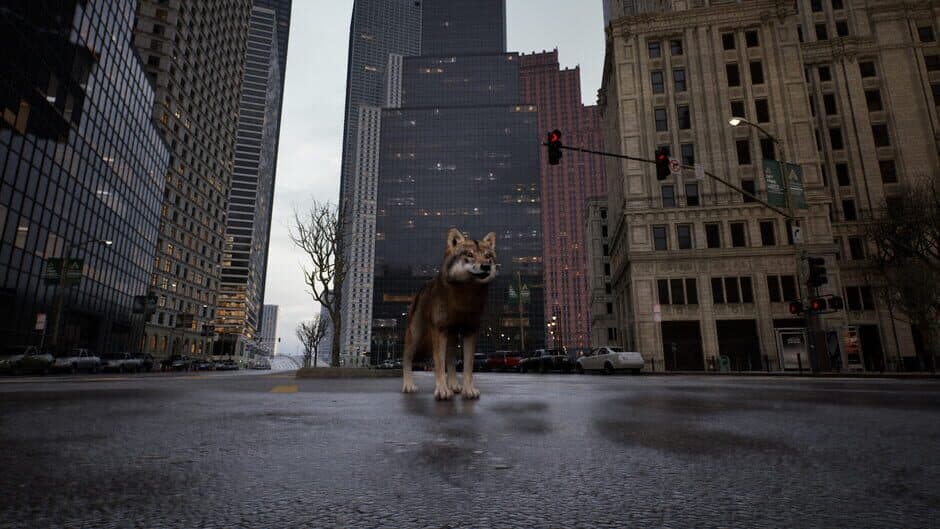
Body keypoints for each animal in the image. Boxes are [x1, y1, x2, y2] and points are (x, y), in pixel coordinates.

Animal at [401, 228, 498, 400]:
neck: (466, 294)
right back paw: (408, 385)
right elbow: (439, 364)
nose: (486, 266)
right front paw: (442, 390)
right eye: (470, 254)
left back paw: (454, 385)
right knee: (406, 358)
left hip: (452, 336)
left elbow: (467, 366)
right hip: (416, 337)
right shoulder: (439, 331)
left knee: (451, 361)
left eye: (488, 256)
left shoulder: (470, 331)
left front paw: (468, 390)